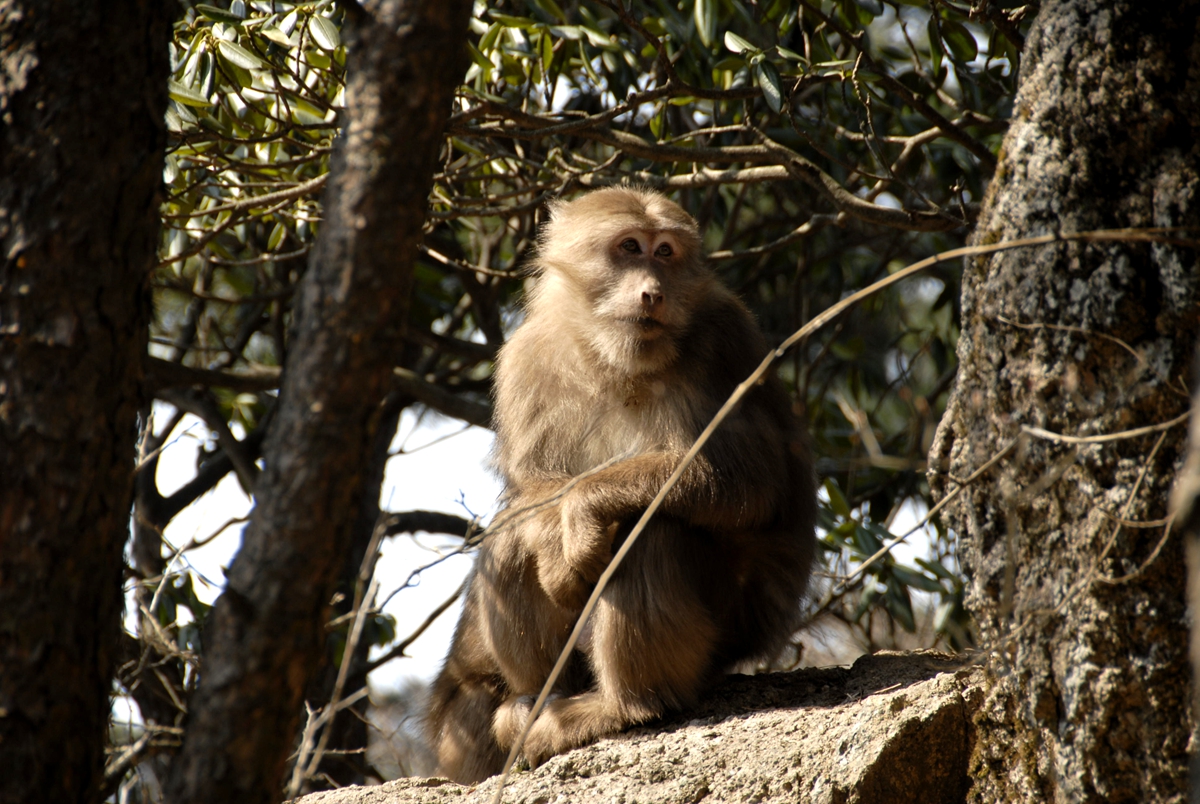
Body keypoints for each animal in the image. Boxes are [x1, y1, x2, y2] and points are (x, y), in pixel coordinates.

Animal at [424, 186, 816, 782]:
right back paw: (538, 700)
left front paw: (585, 513)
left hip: (731, 626)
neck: (612, 356)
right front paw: (559, 549)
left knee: (650, 526)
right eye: (630, 247)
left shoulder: (722, 344)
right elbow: (531, 487)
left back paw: (626, 706)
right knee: (513, 537)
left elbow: (744, 482)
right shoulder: (525, 358)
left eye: (666, 253)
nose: (652, 291)